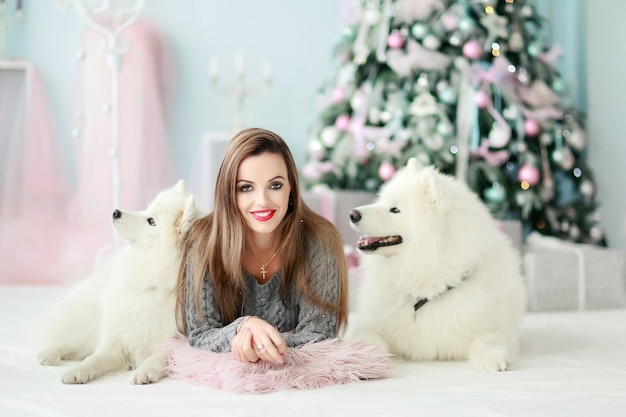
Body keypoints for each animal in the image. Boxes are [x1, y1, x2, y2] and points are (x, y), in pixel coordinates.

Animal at [34, 180, 202, 384]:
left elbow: (160, 356)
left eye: (151, 221)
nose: (115, 212)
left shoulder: (178, 344)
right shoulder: (115, 341)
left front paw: (145, 370)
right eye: (146, 209)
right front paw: (77, 371)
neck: (153, 285)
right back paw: (49, 354)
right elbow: (94, 359)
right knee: (72, 343)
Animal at [346, 158, 528, 370]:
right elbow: (368, 341)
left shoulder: (495, 326)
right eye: (380, 201)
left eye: (395, 210)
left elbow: (488, 339)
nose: (352, 214)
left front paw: (494, 359)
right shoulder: (369, 325)